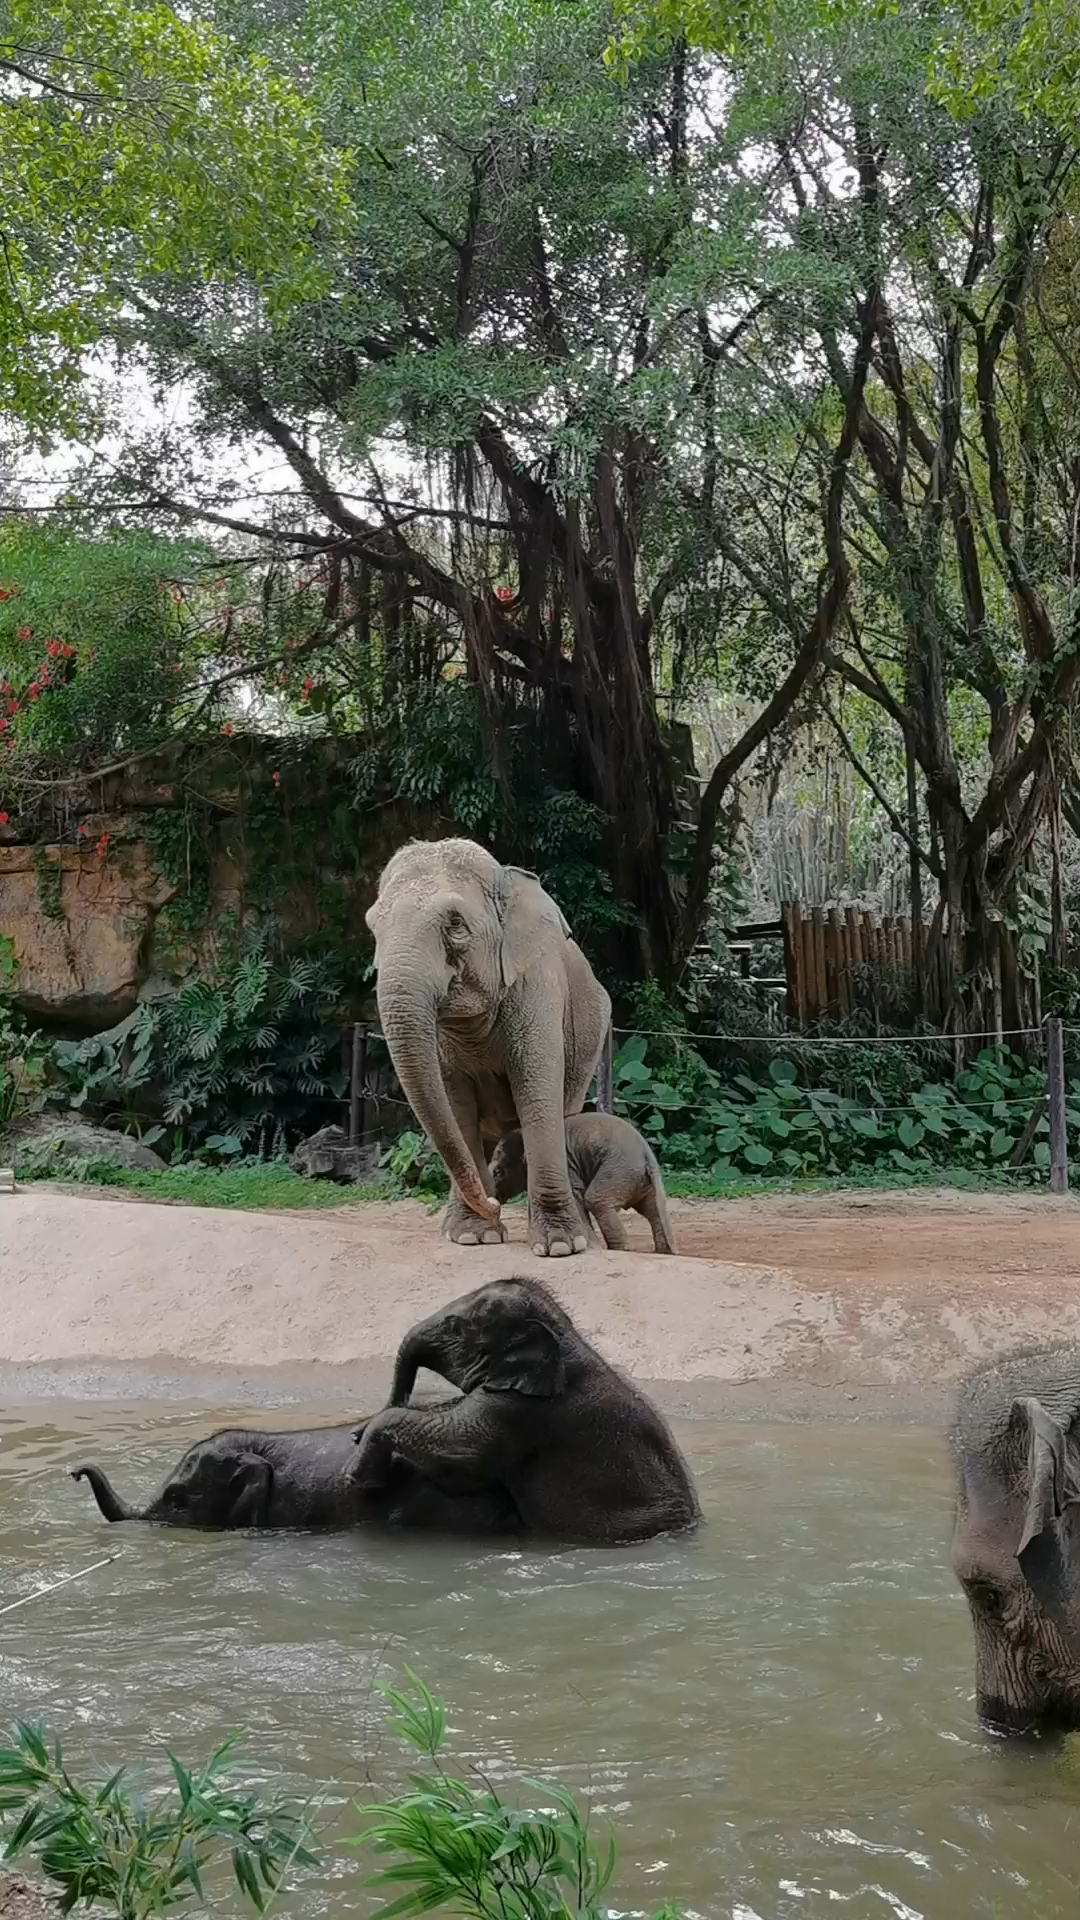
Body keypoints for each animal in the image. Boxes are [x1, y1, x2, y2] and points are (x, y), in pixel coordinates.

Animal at [343, 1274, 699, 1543]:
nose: (353, 1433)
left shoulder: (525, 1412)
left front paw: (355, 1477)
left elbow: (462, 1457)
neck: (566, 1334)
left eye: (457, 1327)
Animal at [365, 840, 611, 1259]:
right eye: (372, 927)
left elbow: (538, 1097)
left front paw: (562, 1246)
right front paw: (472, 1237)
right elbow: (456, 1104)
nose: (493, 1203)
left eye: (455, 924)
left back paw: (586, 1239)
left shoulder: (537, 991)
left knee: (565, 1114)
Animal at [488, 1113, 672, 1259]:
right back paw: (664, 1252)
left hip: (620, 1171)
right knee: (653, 1211)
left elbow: (575, 1193)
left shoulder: (566, 1165)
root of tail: (647, 1156)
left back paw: (622, 1250)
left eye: (497, 1172)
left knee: (596, 1200)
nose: (494, 1200)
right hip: (639, 1179)